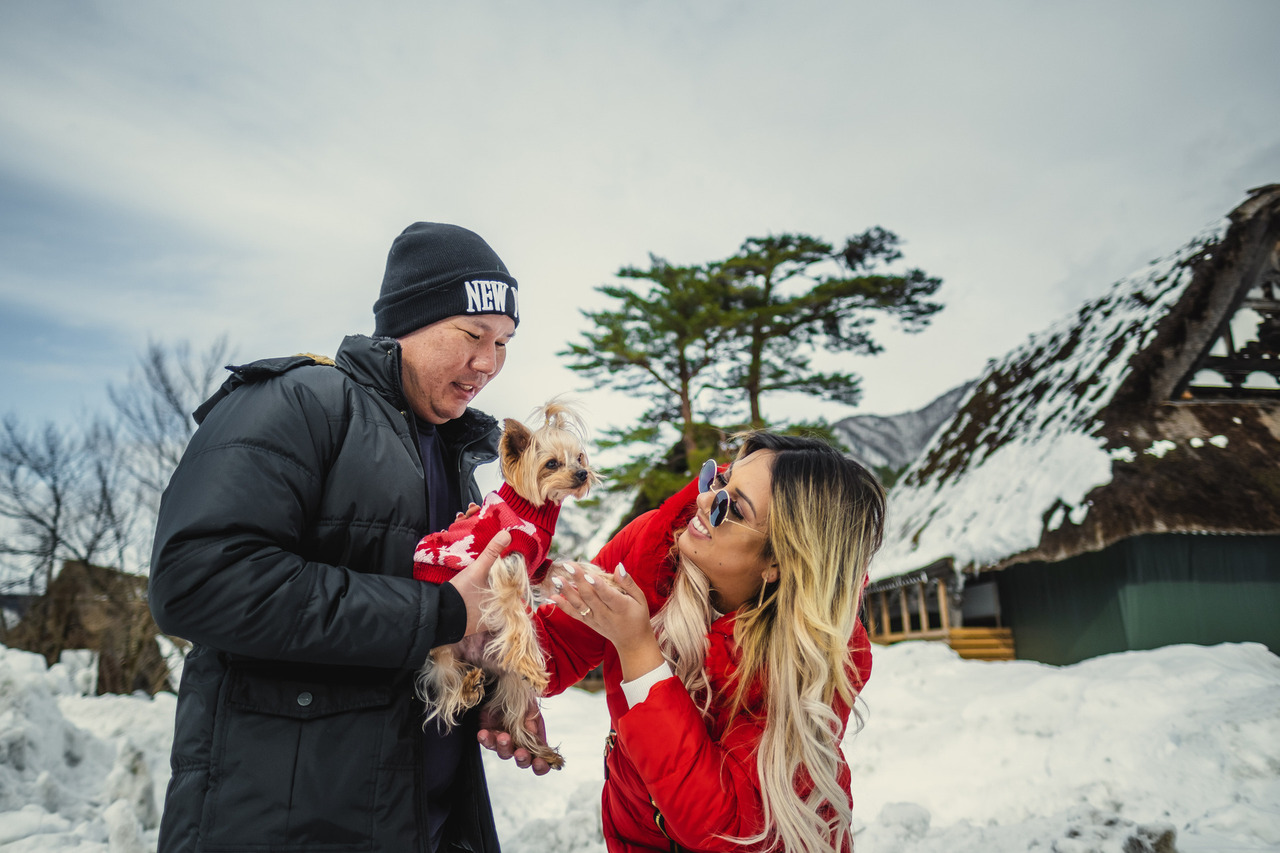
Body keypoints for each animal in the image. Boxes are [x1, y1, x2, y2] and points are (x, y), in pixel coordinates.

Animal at [414, 394, 604, 768]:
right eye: (551, 464)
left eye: (579, 457)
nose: (582, 473)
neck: (533, 509)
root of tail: (475, 658)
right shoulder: (503, 564)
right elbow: (517, 614)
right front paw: (531, 658)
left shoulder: (537, 565)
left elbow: (565, 566)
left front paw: (599, 576)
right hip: (442, 647)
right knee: (445, 684)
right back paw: (469, 686)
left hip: (507, 676)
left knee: (513, 713)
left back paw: (536, 748)